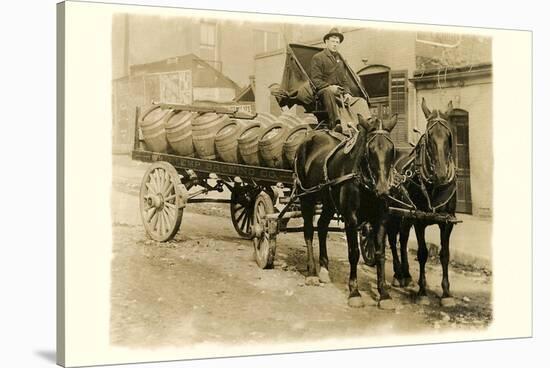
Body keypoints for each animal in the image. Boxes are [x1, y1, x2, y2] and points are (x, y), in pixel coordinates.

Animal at [296, 113, 398, 310]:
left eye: (392, 149)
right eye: (370, 150)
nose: (383, 190)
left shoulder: (381, 219)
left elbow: (380, 254)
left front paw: (384, 294)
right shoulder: (351, 219)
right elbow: (354, 254)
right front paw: (354, 292)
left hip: (329, 202)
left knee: (322, 226)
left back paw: (324, 269)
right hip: (306, 197)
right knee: (309, 231)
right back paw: (312, 272)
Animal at [388, 98, 462, 308]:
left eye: (449, 136)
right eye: (428, 138)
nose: (441, 173)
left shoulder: (447, 222)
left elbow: (445, 254)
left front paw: (446, 293)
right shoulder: (419, 221)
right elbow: (422, 253)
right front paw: (422, 291)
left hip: (406, 215)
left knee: (403, 238)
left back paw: (406, 275)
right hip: (392, 213)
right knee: (392, 238)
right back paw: (398, 274)